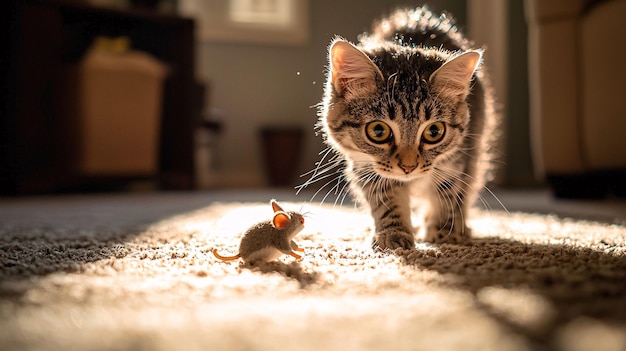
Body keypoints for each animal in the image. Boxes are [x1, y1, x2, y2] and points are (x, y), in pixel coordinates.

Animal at [310, 6, 494, 249]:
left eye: (434, 132)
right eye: (378, 131)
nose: (408, 167)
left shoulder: (458, 159)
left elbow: (449, 193)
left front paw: (446, 231)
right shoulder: (365, 167)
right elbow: (387, 202)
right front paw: (393, 233)